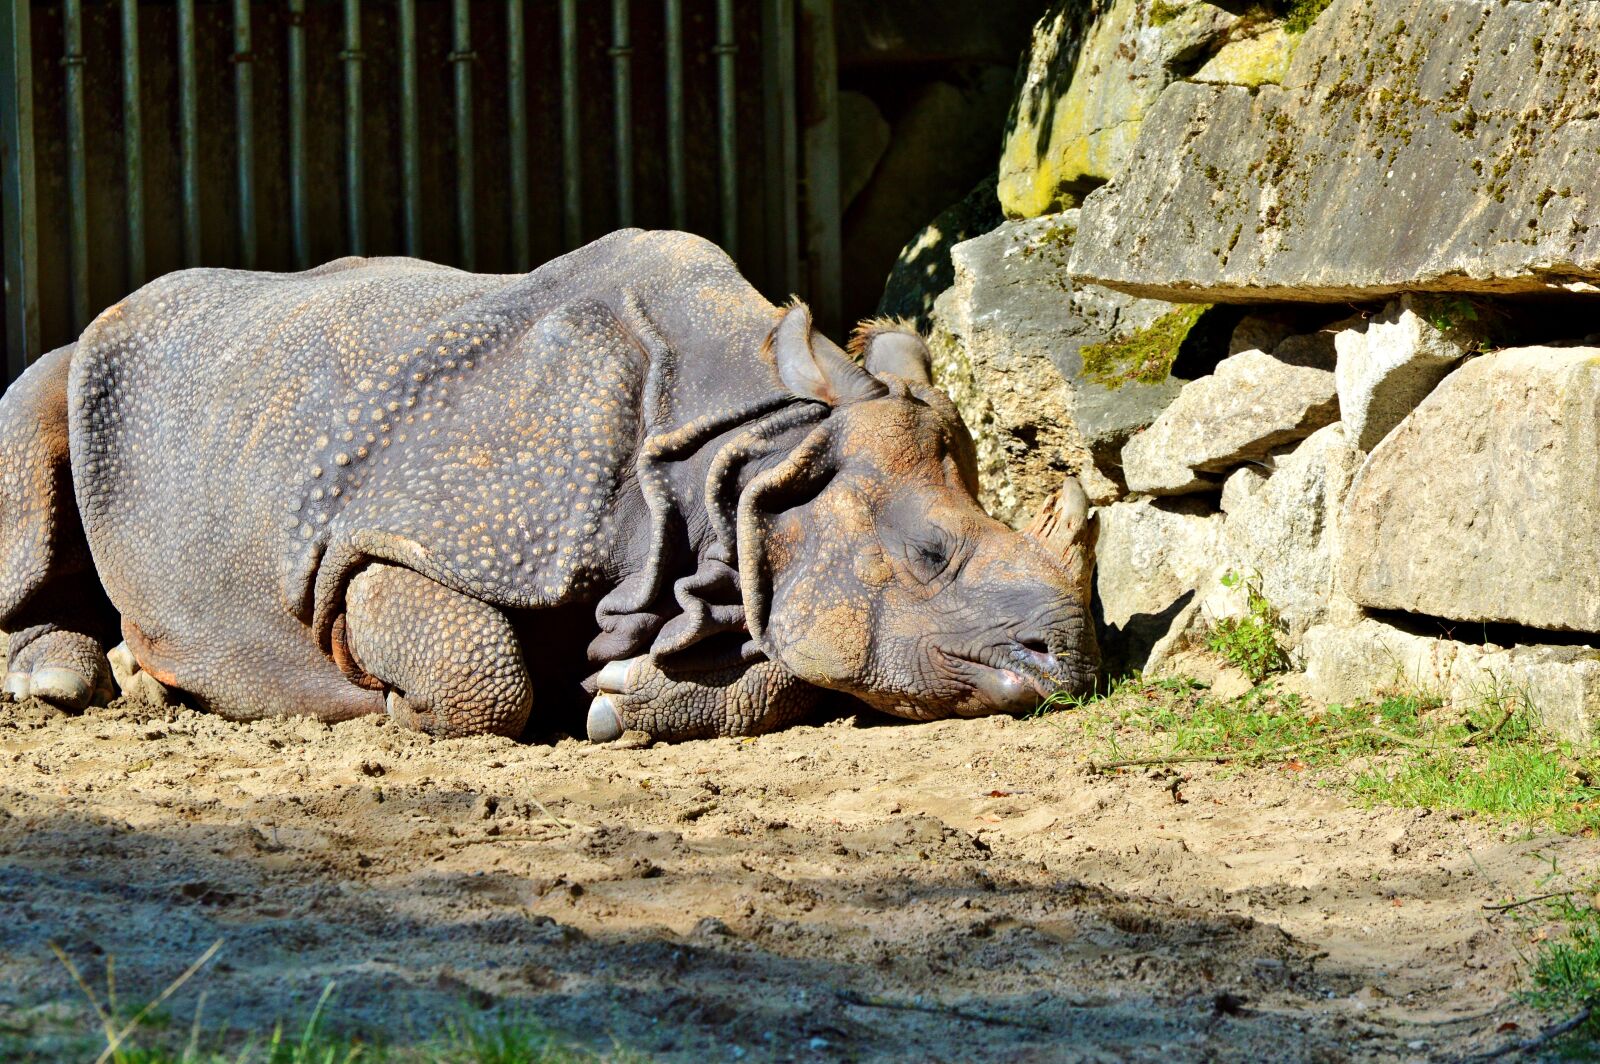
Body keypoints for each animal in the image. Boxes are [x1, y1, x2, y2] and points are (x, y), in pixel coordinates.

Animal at [0, 230, 1098, 742]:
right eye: (929, 556)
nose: (1072, 664)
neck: (747, 455)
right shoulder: (403, 535)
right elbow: (479, 673)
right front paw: (394, 711)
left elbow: (787, 658)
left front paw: (619, 702)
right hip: (86, 366)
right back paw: (64, 681)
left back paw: (148, 676)